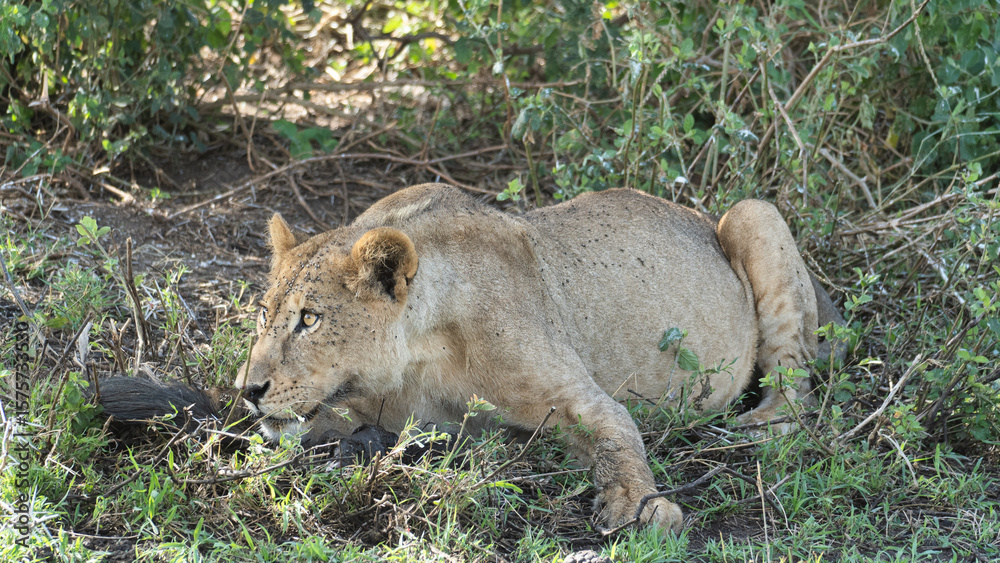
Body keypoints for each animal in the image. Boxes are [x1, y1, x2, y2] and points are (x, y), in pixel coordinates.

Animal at [222, 183, 845, 531]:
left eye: (310, 319)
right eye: (264, 314)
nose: (247, 390)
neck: (417, 361)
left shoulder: (577, 394)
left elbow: (618, 436)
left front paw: (642, 506)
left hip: (754, 214)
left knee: (797, 381)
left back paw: (759, 424)